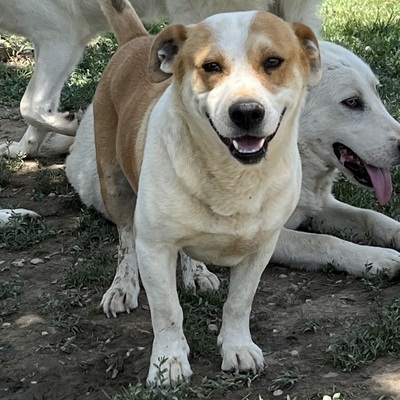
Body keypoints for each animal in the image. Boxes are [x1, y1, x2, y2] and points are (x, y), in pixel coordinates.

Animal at [67, 39, 400, 322]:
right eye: (352, 102)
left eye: (376, 92)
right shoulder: (266, 236)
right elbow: (325, 242)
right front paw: (376, 259)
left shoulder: (318, 205)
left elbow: (372, 217)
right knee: (129, 238)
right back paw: (126, 286)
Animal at [69, 0, 320, 384]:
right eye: (211, 66)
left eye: (273, 61)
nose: (247, 112)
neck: (232, 177)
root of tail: (138, 40)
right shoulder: (154, 247)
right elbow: (167, 310)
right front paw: (168, 363)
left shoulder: (262, 246)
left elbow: (240, 302)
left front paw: (238, 347)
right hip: (113, 183)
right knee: (125, 240)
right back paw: (122, 286)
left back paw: (197, 271)